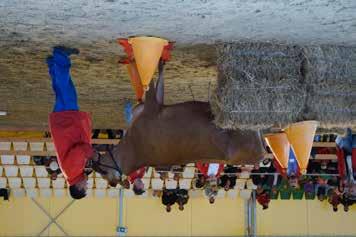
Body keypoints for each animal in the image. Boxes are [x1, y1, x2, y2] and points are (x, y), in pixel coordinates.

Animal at [93, 62, 266, 186]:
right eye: (103, 174)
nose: (112, 183)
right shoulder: (152, 107)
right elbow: (151, 84)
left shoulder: (151, 106)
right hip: (243, 133)